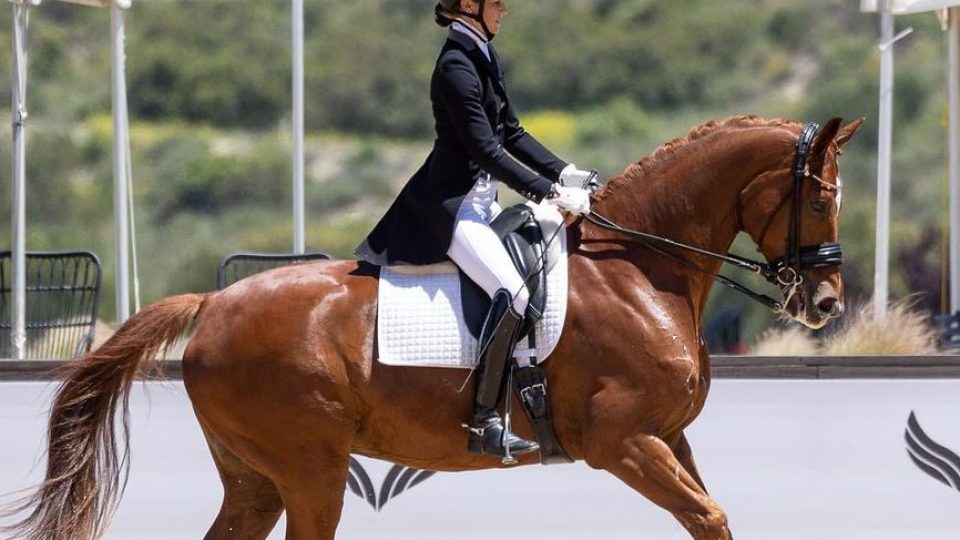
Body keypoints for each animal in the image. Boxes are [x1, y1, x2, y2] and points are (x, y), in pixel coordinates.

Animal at [3, 115, 862, 540]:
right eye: (823, 197)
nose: (825, 302)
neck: (641, 267)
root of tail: (212, 305)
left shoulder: (670, 438)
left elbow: (712, 518)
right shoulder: (623, 441)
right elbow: (708, 517)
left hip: (256, 478)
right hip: (311, 472)